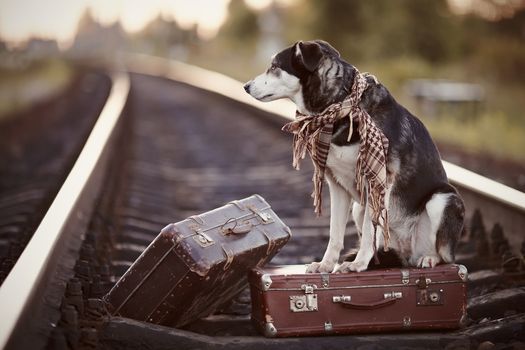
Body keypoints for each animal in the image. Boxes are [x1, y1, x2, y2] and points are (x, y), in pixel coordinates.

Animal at [244, 39, 464, 272]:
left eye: (274, 66)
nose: (245, 86)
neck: (339, 104)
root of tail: (407, 254)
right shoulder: (337, 185)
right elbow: (335, 233)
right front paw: (325, 265)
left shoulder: (376, 182)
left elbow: (368, 232)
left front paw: (358, 264)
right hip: (359, 208)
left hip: (443, 199)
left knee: (445, 254)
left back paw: (428, 258)